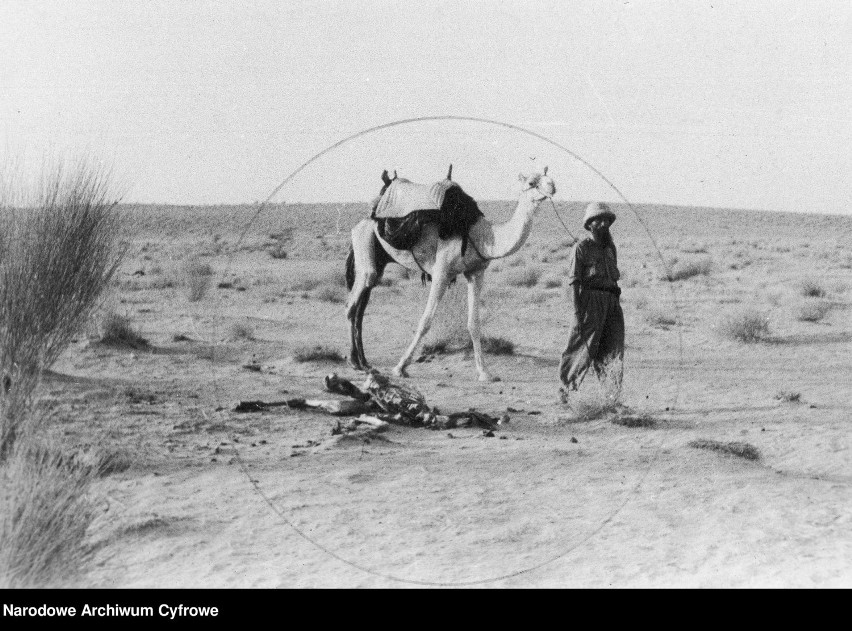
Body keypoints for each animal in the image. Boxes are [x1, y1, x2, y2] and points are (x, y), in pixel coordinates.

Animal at [342, 167, 556, 380]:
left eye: (548, 177)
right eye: (531, 182)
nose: (552, 186)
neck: (483, 236)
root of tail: (366, 217)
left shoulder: (476, 272)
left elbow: (473, 323)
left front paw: (485, 372)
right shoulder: (441, 272)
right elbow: (425, 321)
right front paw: (400, 367)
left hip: (378, 260)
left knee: (361, 306)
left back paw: (364, 363)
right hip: (364, 243)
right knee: (353, 304)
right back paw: (354, 362)